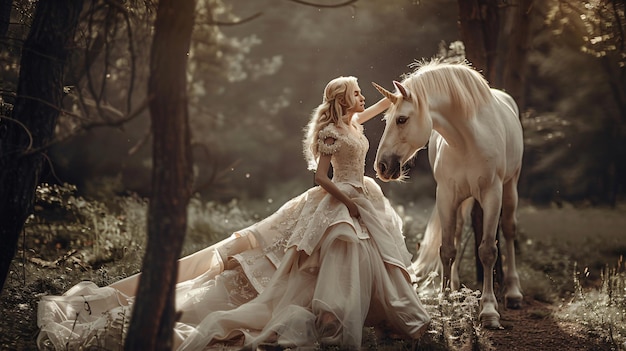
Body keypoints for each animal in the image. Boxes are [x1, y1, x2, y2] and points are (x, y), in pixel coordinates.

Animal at [372, 59, 524, 328]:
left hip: (509, 188)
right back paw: (455, 290)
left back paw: (513, 293)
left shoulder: (492, 194)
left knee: (508, 230)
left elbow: (488, 250)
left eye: (401, 119)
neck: (467, 141)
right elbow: (447, 250)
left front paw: (489, 311)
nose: (381, 166)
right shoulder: (446, 196)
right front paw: (444, 303)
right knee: (459, 231)